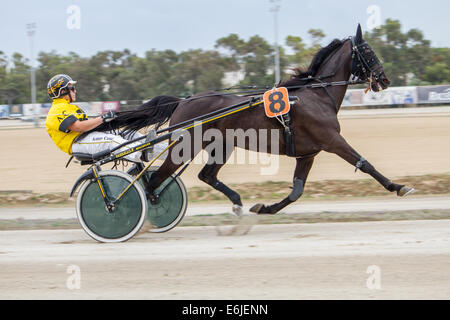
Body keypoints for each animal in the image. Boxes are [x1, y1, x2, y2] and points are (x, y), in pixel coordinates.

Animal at [102, 24, 414, 215]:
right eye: (369, 51)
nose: (384, 79)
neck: (316, 95)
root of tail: (183, 100)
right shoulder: (332, 140)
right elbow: (364, 163)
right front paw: (399, 187)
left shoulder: (308, 153)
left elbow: (296, 191)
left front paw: (264, 208)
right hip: (186, 147)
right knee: (155, 179)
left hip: (221, 146)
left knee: (205, 175)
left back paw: (238, 203)